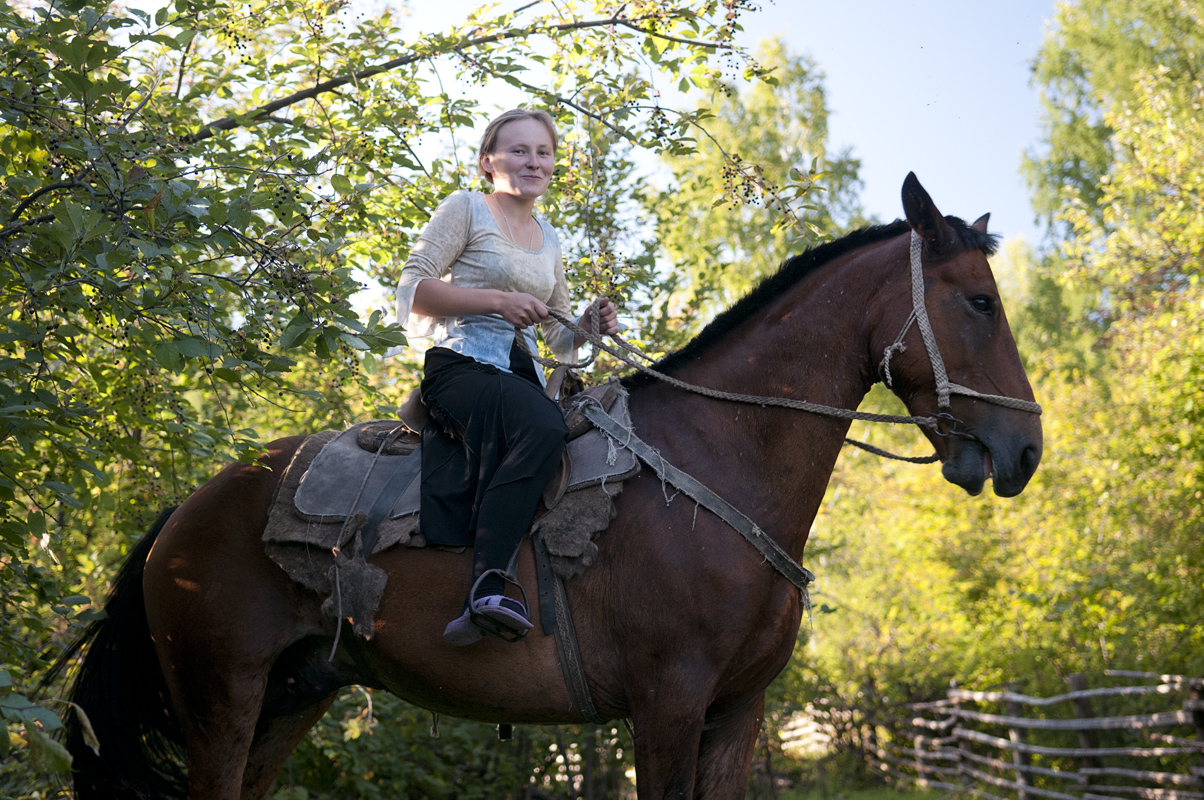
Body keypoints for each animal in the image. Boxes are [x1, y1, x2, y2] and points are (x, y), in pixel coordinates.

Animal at [61, 177, 1040, 800]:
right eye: (980, 301)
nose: (1025, 449)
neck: (716, 461)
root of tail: (184, 515)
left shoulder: (737, 714)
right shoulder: (669, 704)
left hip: (294, 694)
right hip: (221, 696)